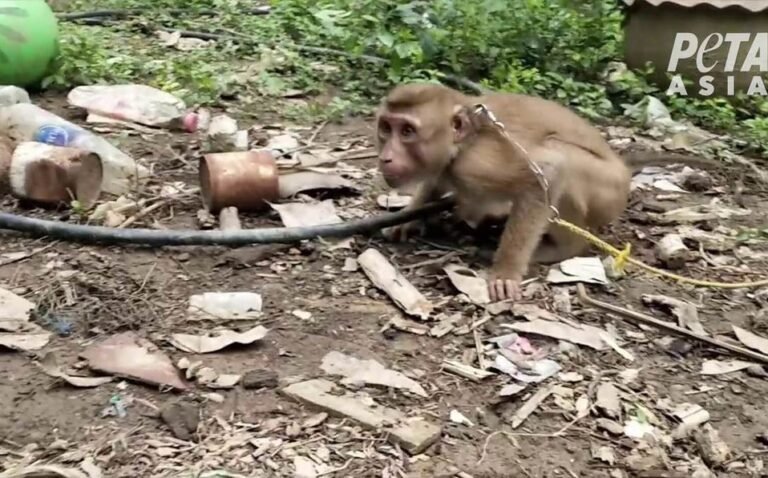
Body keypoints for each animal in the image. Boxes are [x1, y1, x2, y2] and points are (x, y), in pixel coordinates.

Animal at [374, 82, 720, 302]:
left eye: (407, 132)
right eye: (386, 129)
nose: (386, 157)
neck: (467, 138)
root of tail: (622, 167)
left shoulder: (477, 163)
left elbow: (548, 173)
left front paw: (506, 271)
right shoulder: (448, 165)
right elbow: (435, 181)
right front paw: (408, 218)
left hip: (607, 192)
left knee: (562, 156)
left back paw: (561, 248)